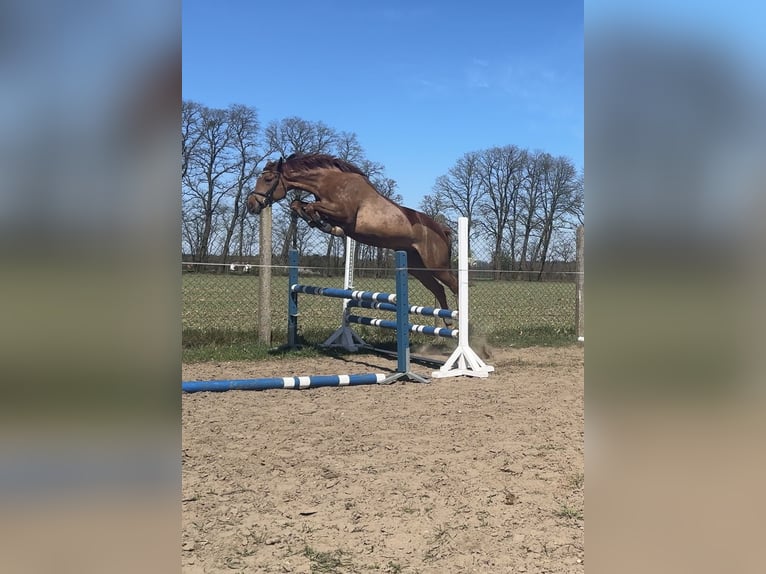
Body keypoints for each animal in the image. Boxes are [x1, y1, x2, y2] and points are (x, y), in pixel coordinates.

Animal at [246, 153, 458, 317]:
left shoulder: (343, 214)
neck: (330, 182)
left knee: (454, 285)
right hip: (417, 267)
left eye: (267, 180)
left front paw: (323, 224)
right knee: (439, 289)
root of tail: (442, 230)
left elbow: (312, 207)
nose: (251, 204)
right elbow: (298, 204)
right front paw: (318, 222)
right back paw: (446, 324)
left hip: (436, 265)